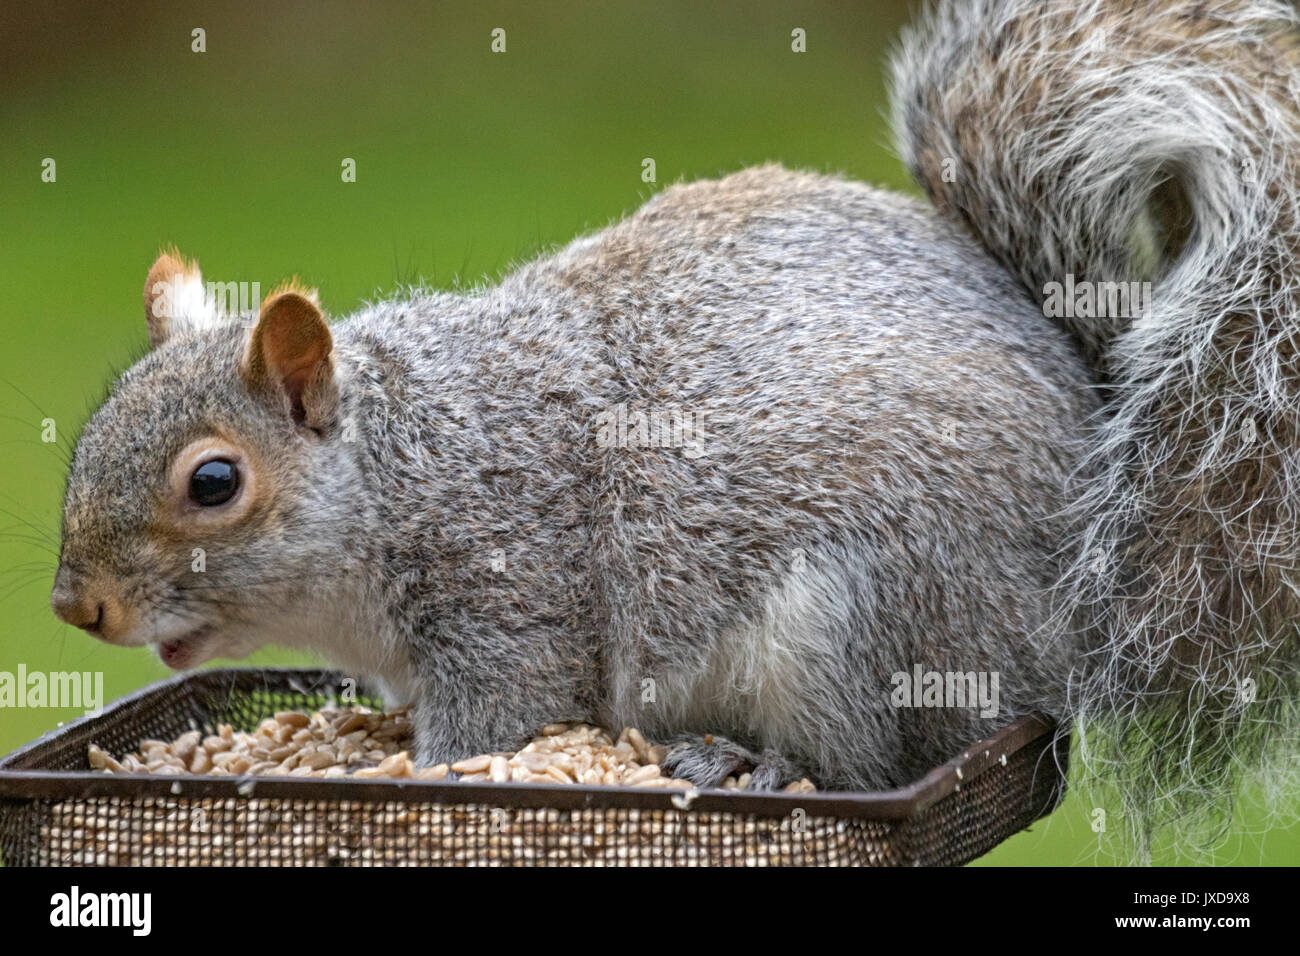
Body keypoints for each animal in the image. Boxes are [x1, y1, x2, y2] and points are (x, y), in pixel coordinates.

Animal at [50, 0, 1299, 850]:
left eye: (215, 482)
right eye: (93, 429)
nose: (77, 606)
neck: (407, 461)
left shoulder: (516, 595)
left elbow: (498, 714)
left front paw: (419, 776)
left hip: (858, 609)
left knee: (862, 758)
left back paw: (742, 756)